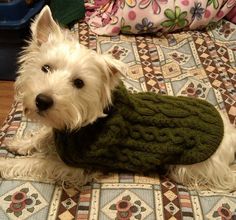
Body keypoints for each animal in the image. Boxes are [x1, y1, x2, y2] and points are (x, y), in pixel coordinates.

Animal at [0, 5, 235, 191]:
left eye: (79, 83)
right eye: (46, 68)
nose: (42, 101)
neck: (82, 123)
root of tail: (230, 134)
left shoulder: (76, 167)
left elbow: (37, 163)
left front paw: (5, 164)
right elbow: (43, 136)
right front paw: (19, 143)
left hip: (189, 169)